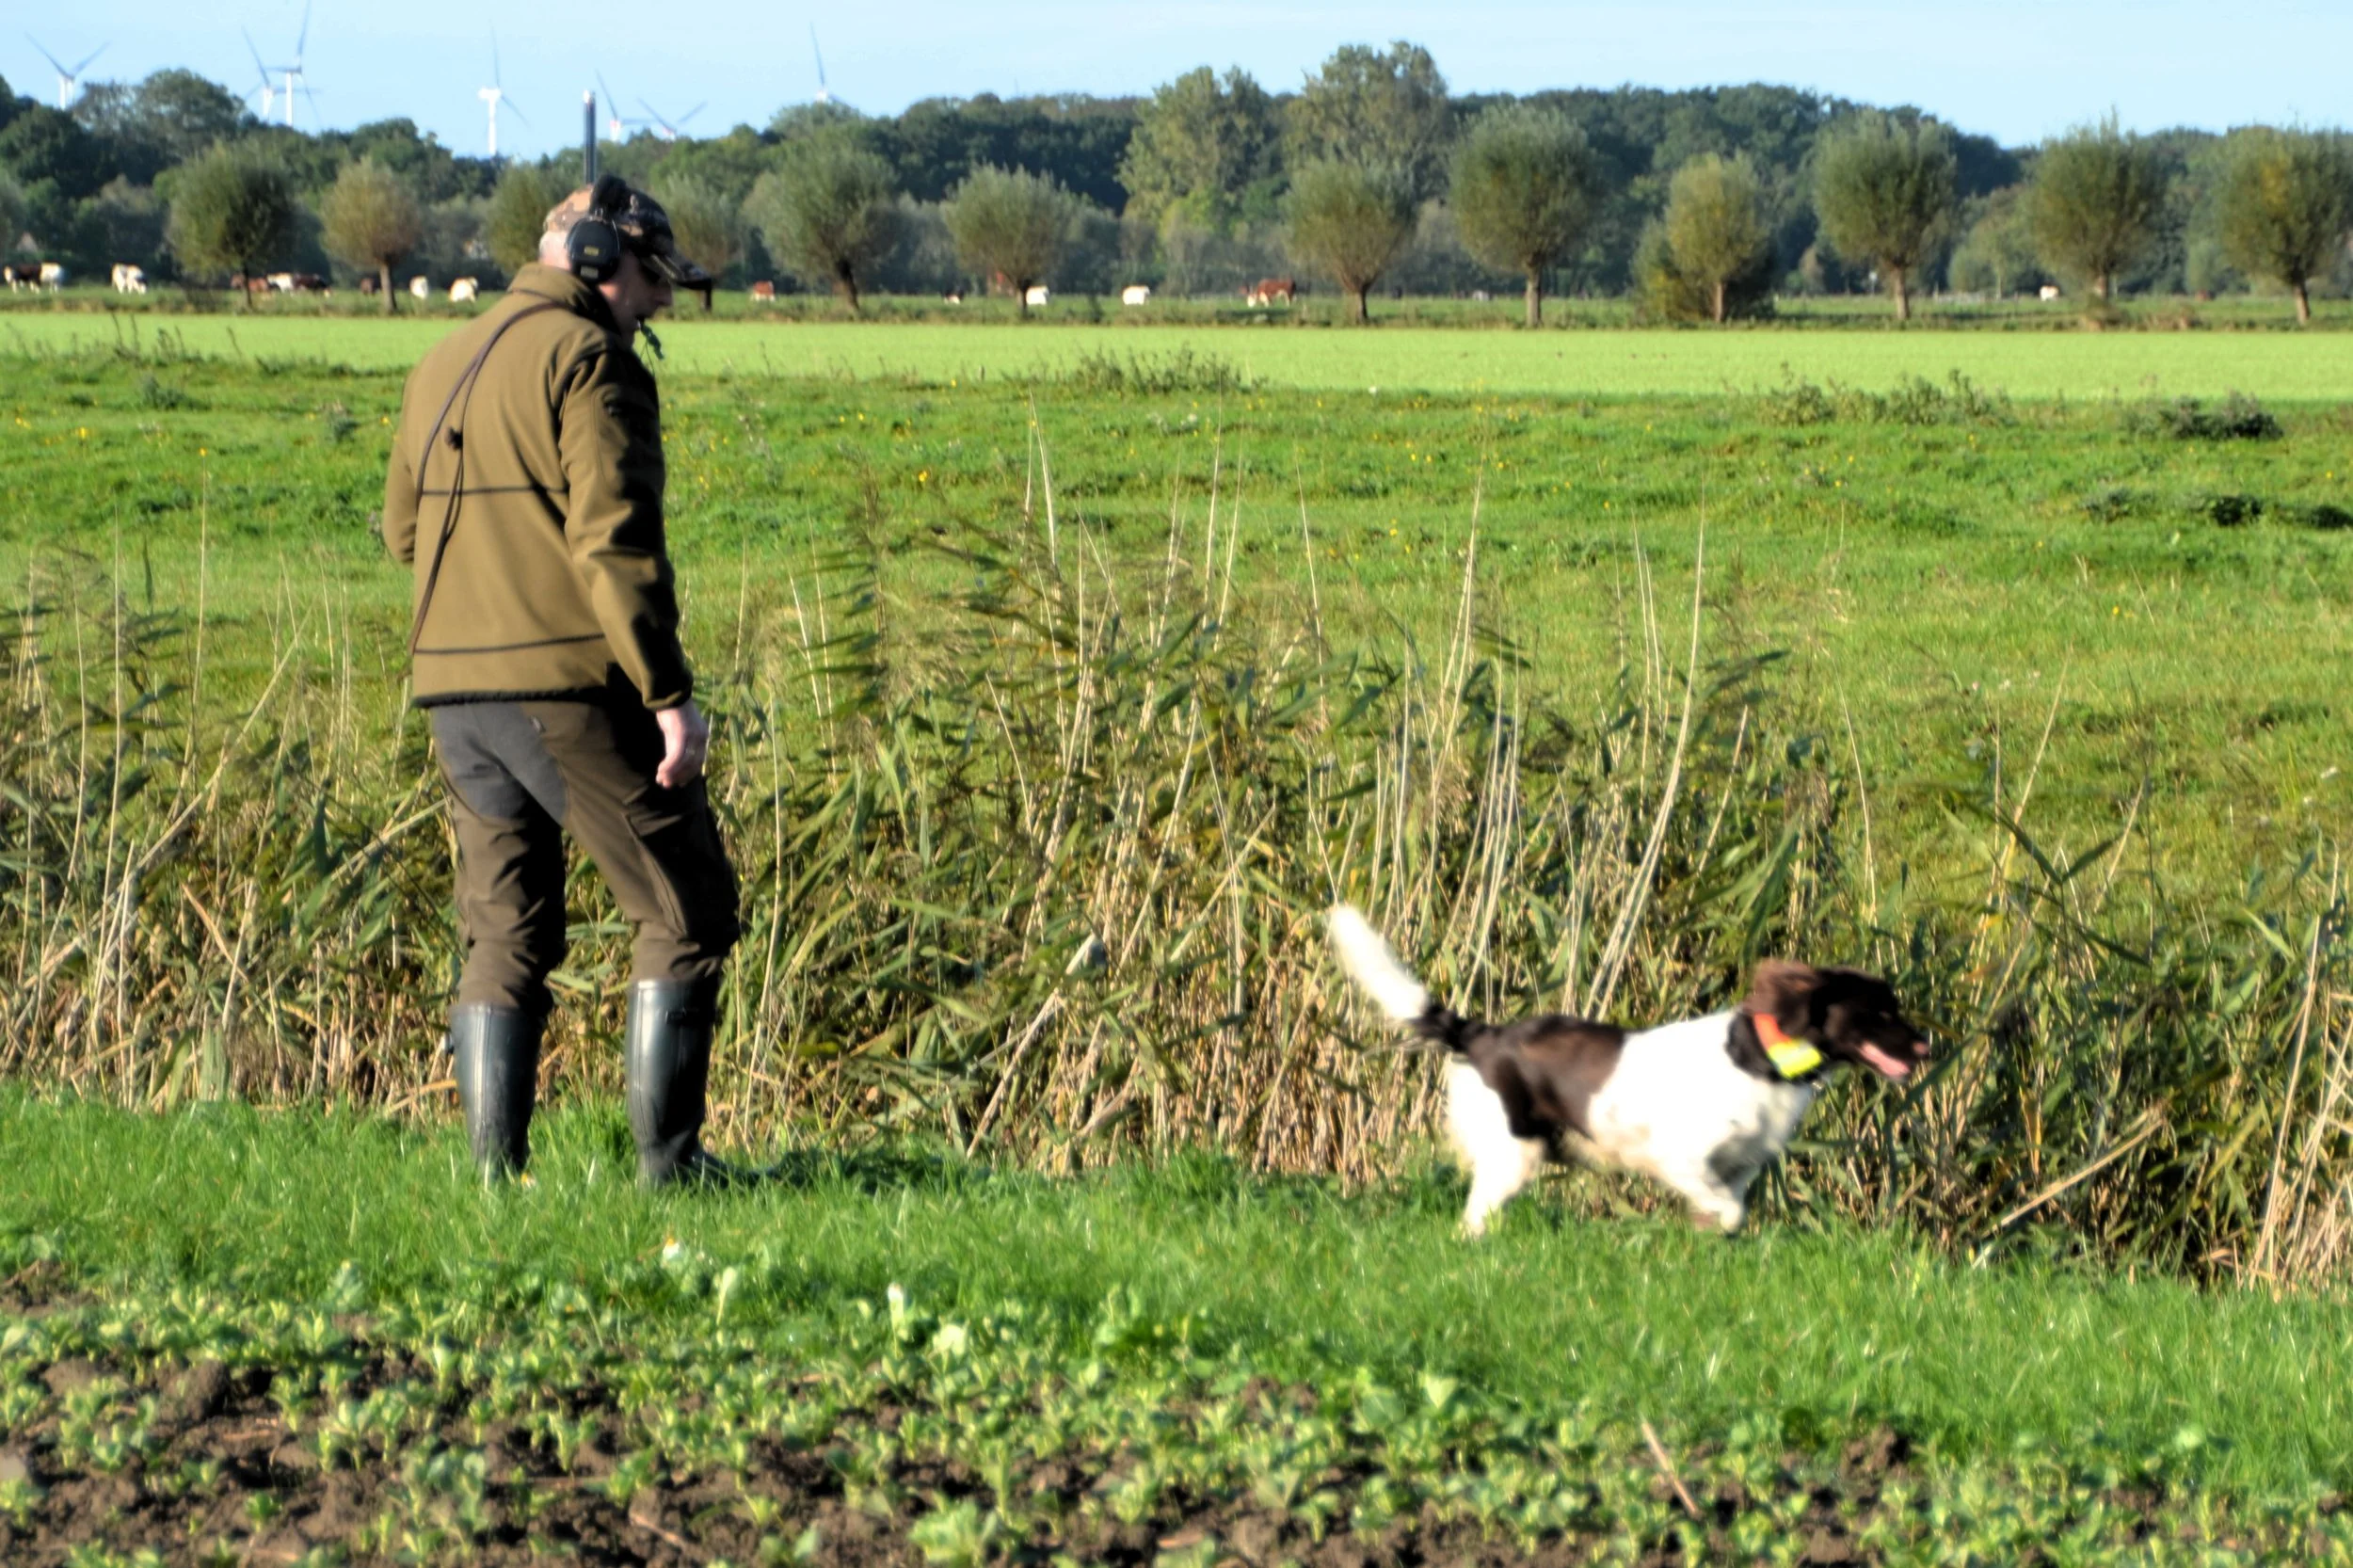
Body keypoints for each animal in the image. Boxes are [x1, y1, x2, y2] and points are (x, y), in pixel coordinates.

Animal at [1326, 905, 1928, 1235]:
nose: (1925, 1045)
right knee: (1472, 1221)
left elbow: (1729, 1211)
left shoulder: (1739, 1167)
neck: (1759, 1060)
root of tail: (1479, 1033)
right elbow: (1727, 1212)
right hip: (1516, 1150)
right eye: (1879, 1013)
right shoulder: (1681, 1158)